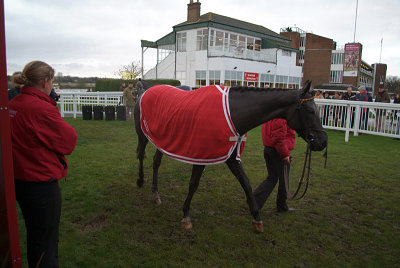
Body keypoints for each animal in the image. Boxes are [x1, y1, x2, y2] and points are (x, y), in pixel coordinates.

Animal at [133, 81, 326, 232]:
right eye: (310, 110)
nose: (323, 141)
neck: (233, 112)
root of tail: (144, 91)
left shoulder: (232, 157)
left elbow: (246, 183)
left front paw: (257, 218)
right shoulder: (201, 155)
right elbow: (193, 184)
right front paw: (186, 216)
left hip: (163, 140)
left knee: (156, 162)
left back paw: (156, 195)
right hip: (143, 135)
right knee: (141, 155)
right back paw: (140, 180)